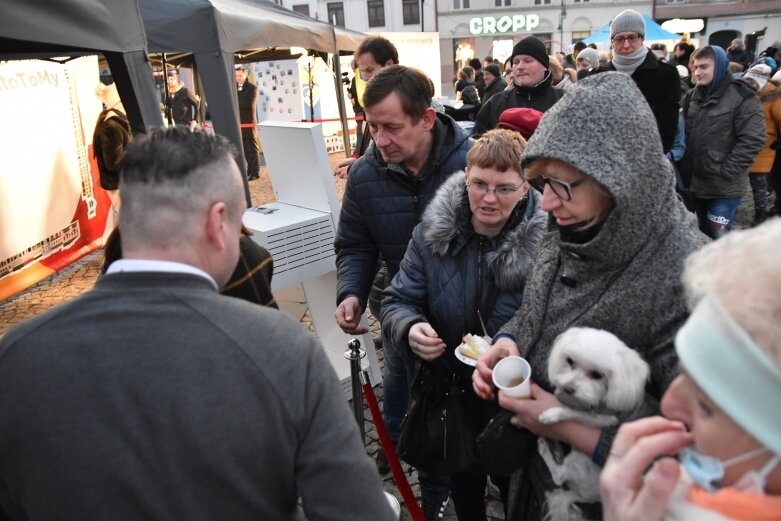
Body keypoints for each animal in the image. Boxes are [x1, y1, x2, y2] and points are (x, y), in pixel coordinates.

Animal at [536, 328, 644, 516]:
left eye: (597, 375)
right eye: (570, 361)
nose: (568, 388)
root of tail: (587, 498)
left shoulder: (605, 419)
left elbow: (573, 412)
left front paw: (552, 414)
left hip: (579, 461)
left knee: (559, 476)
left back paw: (544, 449)